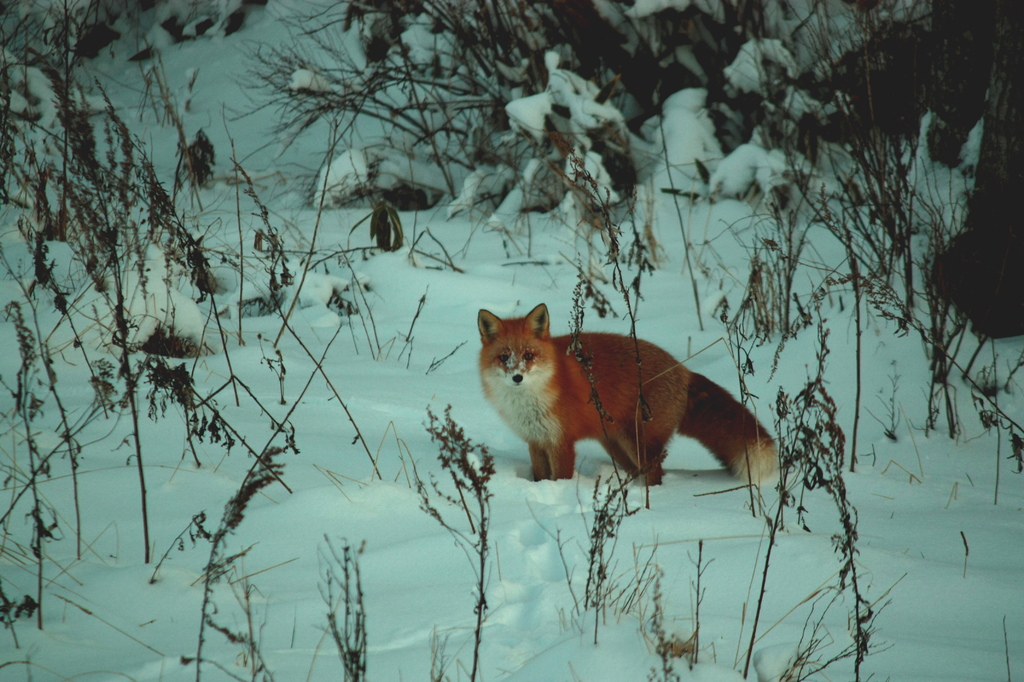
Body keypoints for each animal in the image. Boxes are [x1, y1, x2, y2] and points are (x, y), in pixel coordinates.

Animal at [477, 303, 774, 483]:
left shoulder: (561, 442)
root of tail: (683, 369)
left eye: (529, 355)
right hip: (617, 445)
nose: (517, 377)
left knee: (656, 475)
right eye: (504, 357)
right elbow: (540, 477)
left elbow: (560, 478)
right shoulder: (536, 440)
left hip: (639, 441)